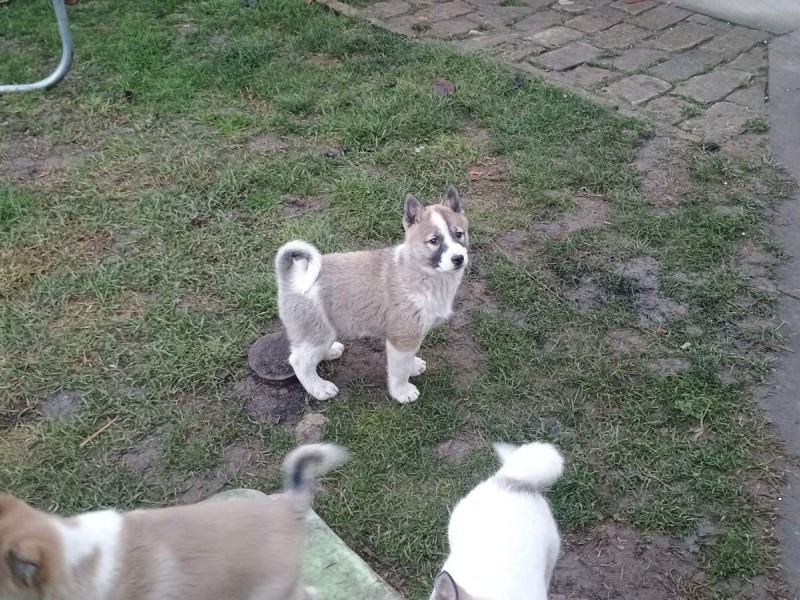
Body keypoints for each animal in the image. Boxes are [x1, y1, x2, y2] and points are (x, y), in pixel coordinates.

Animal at [275, 186, 468, 404]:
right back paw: (320, 388)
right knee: (299, 361)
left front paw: (413, 366)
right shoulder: (402, 337)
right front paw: (402, 392)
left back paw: (330, 352)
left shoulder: (412, 335)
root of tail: (291, 275)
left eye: (459, 234)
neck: (422, 272)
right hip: (316, 329)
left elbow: (409, 359)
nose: (458, 258)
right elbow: (399, 369)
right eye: (434, 241)